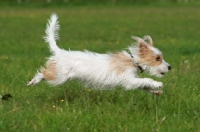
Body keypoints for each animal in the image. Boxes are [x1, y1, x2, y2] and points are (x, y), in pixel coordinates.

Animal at [26, 13, 170, 95]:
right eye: (158, 58)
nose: (170, 67)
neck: (132, 60)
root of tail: (60, 52)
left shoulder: (132, 81)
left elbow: (144, 85)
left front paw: (156, 91)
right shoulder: (128, 79)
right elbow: (146, 80)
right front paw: (158, 84)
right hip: (59, 77)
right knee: (42, 73)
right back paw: (33, 82)